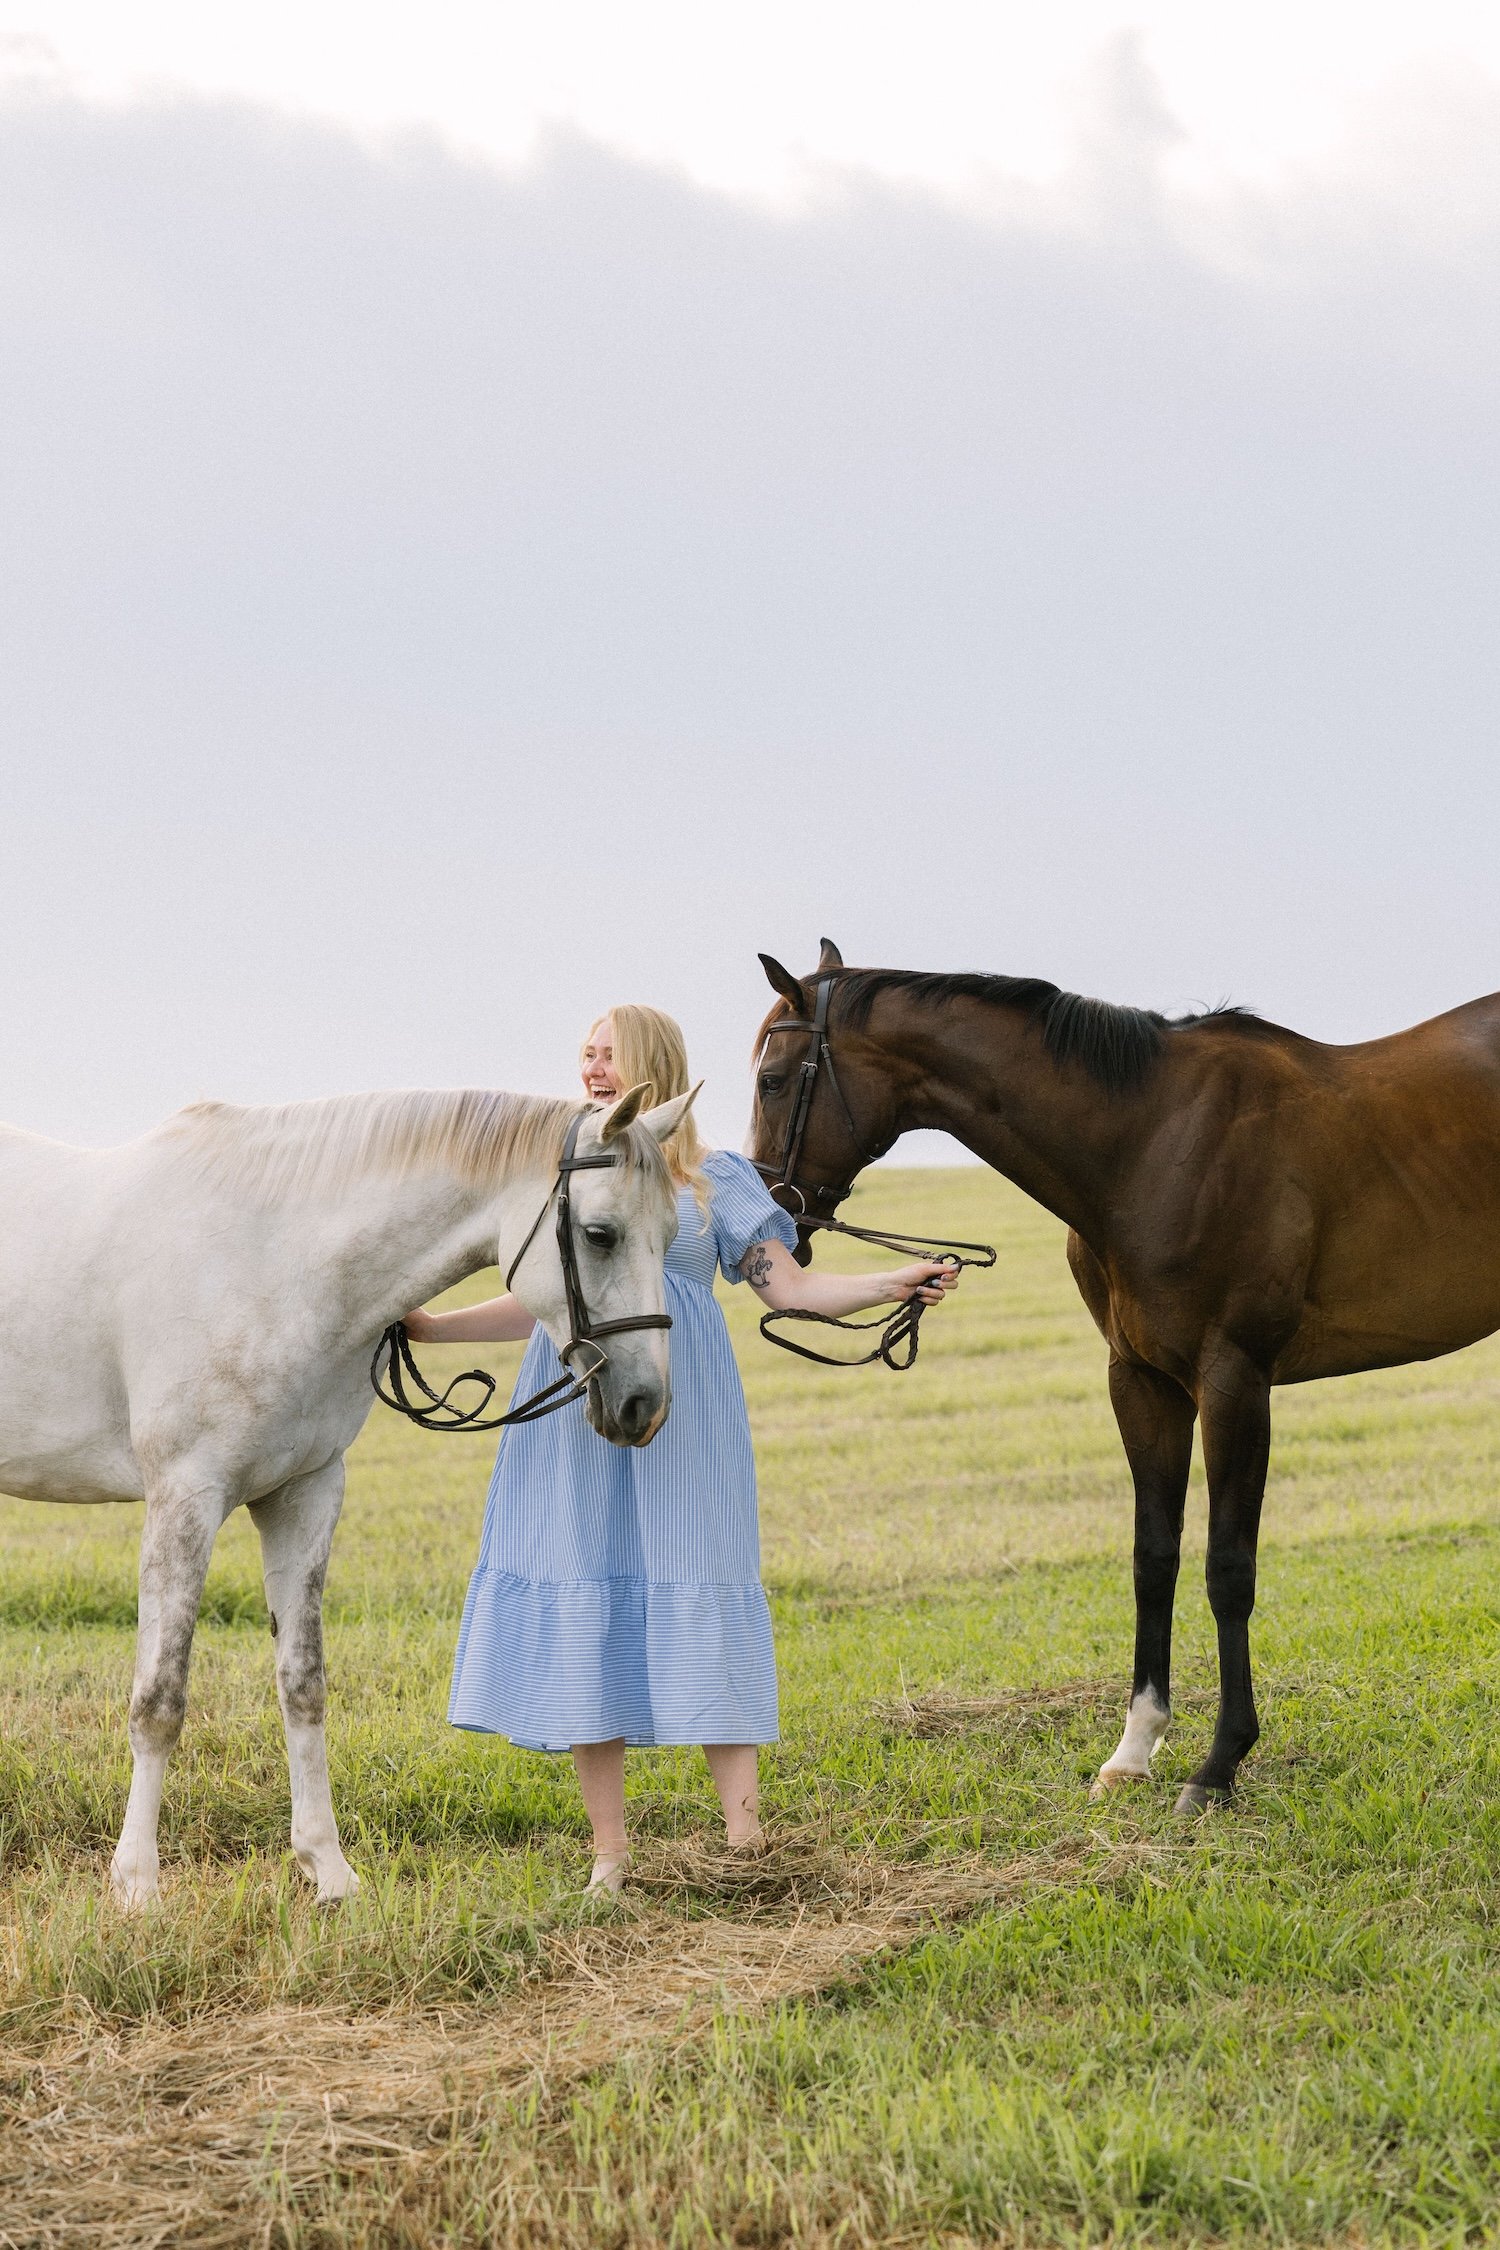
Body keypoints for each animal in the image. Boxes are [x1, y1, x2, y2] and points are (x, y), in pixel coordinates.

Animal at [0, 1080, 694, 1904]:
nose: (644, 1405)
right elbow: (159, 1699)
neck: (271, 1259)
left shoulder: (304, 1494)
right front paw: (137, 1885)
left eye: (672, 1232)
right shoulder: (184, 1498)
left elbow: (303, 1684)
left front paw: (326, 1870)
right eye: (599, 1234)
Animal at [748, 940, 1500, 1813]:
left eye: (773, 1080)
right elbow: (1154, 1556)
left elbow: (1227, 1568)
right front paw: (1136, 1748)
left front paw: (1218, 1765)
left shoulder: (1234, 1380)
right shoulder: (1140, 1382)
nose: (776, 1223)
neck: (1150, 1144)